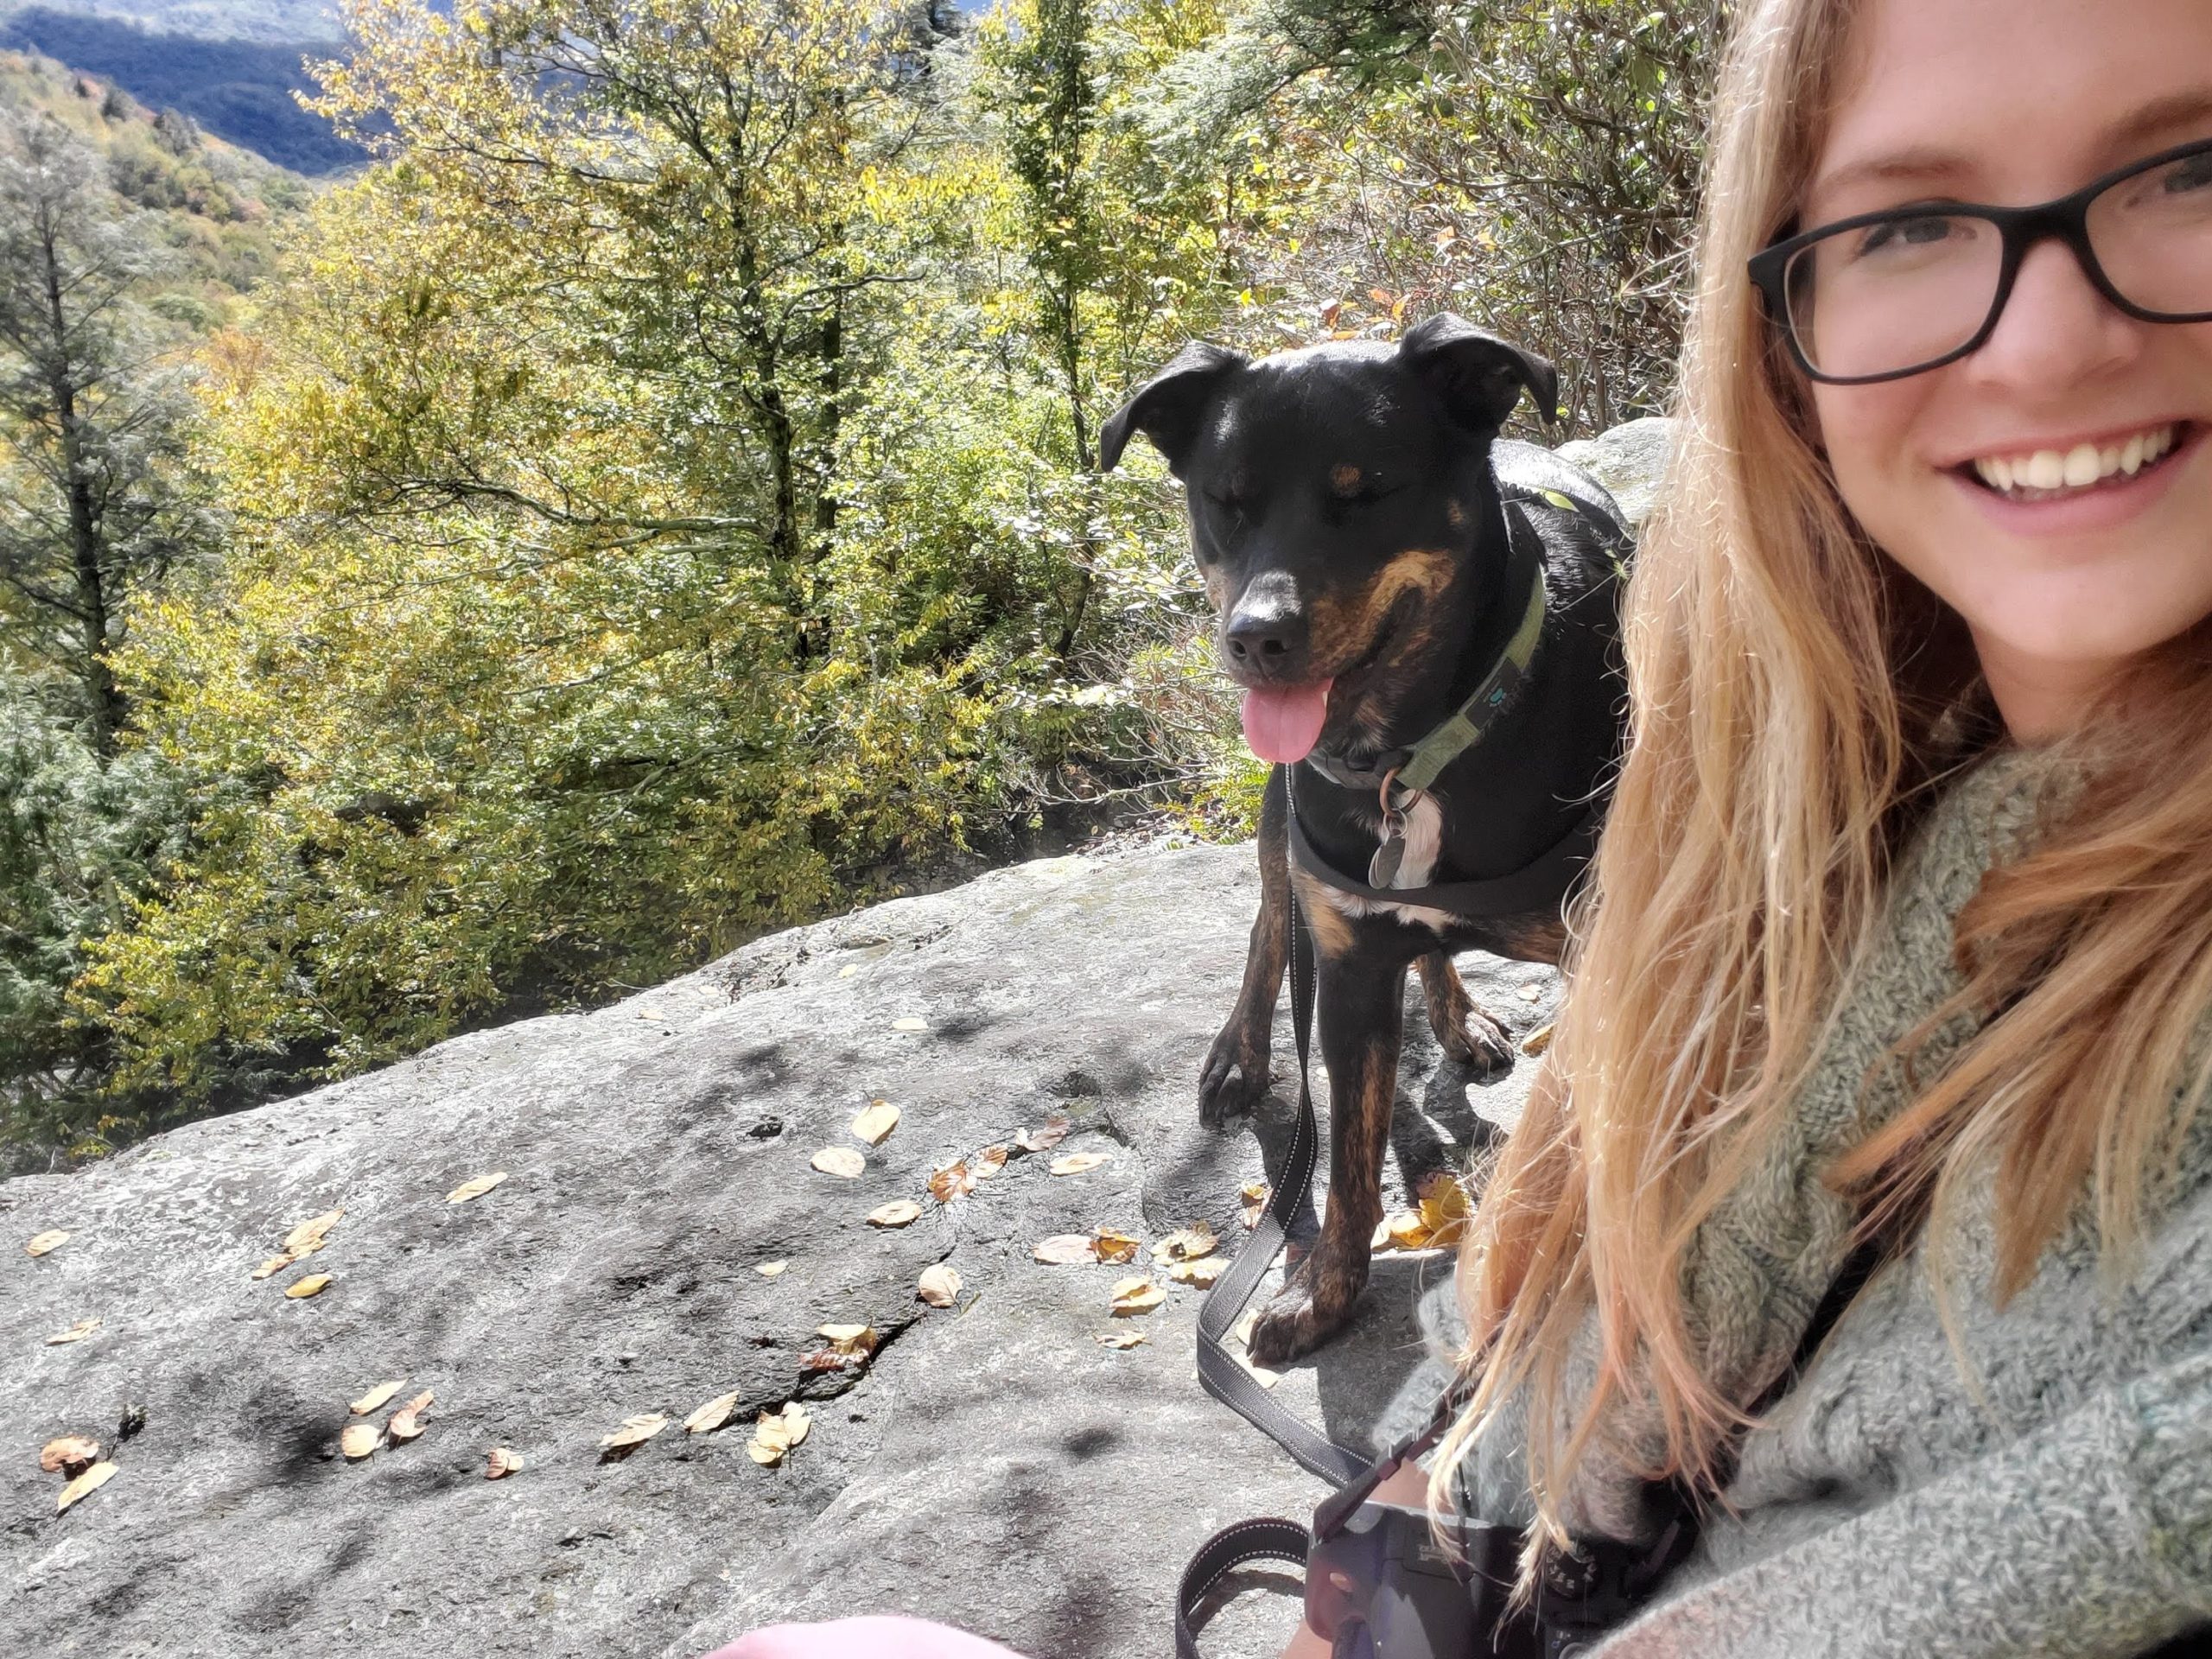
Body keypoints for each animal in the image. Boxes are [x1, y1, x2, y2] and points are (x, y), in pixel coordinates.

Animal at [1101, 311, 1637, 1362]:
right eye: (1226, 502)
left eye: (1365, 493)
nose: (1254, 637)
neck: (1417, 750)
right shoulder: (1346, 969)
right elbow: (1346, 1159)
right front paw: (1324, 1293)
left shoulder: (1606, 944)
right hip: (1279, 824)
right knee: (1270, 922)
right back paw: (1241, 1052)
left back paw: (1456, 1015)